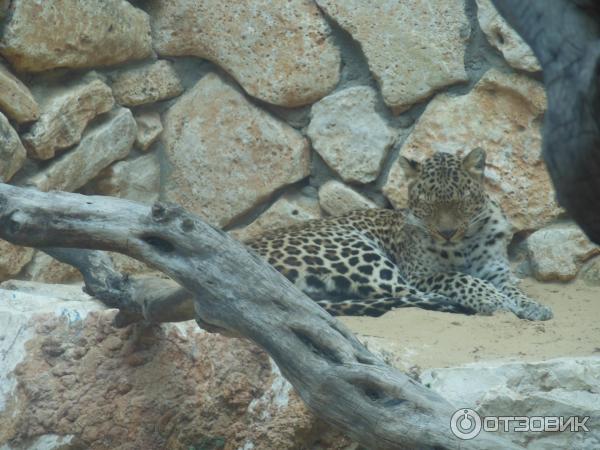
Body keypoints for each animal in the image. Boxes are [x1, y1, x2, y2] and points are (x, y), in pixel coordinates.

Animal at [245, 149, 552, 322]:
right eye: (427, 205)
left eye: (461, 202)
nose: (447, 233)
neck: (466, 242)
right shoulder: (419, 274)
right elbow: (459, 278)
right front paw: (495, 300)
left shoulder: (496, 272)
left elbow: (514, 288)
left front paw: (532, 306)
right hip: (355, 250)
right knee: (407, 293)